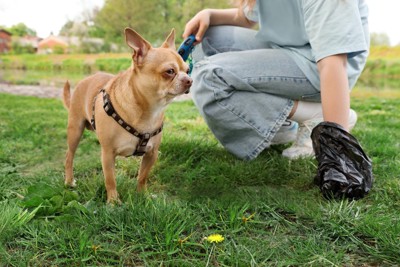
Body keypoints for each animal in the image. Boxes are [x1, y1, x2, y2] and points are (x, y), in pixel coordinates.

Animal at [62, 28, 192, 204]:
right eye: (169, 71)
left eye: (188, 70)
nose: (189, 80)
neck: (149, 110)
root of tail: (85, 80)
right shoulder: (108, 154)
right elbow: (110, 180)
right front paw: (113, 202)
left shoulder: (151, 154)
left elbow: (142, 176)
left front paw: (142, 195)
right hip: (75, 130)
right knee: (69, 156)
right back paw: (69, 181)